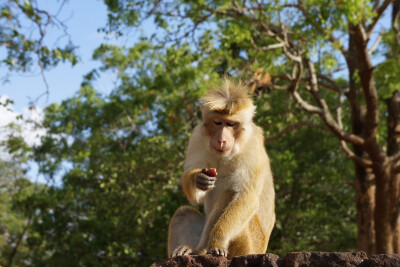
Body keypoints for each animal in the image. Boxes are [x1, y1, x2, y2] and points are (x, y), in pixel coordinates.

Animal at [167, 77, 276, 260]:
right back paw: (195, 249)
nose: (221, 139)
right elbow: (195, 197)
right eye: (217, 122)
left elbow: (246, 197)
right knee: (183, 214)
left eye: (231, 124)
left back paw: (203, 249)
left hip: (249, 246)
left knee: (230, 194)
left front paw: (218, 240)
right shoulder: (197, 136)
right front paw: (198, 179)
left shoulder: (252, 145)